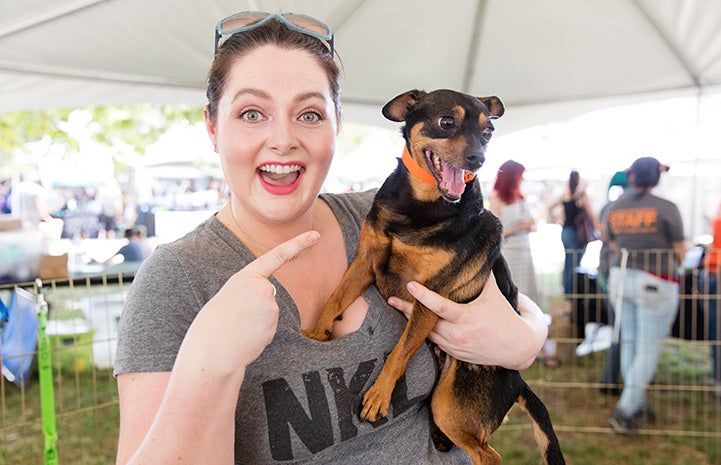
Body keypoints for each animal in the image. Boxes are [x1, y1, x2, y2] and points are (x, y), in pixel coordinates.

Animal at [302, 89, 564, 462]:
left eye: (488, 132)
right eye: (446, 122)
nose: (479, 159)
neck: (420, 206)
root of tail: (518, 381)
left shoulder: (429, 295)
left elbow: (400, 350)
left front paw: (379, 393)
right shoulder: (366, 261)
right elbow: (335, 297)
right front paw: (319, 330)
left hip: (450, 404)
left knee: (489, 455)